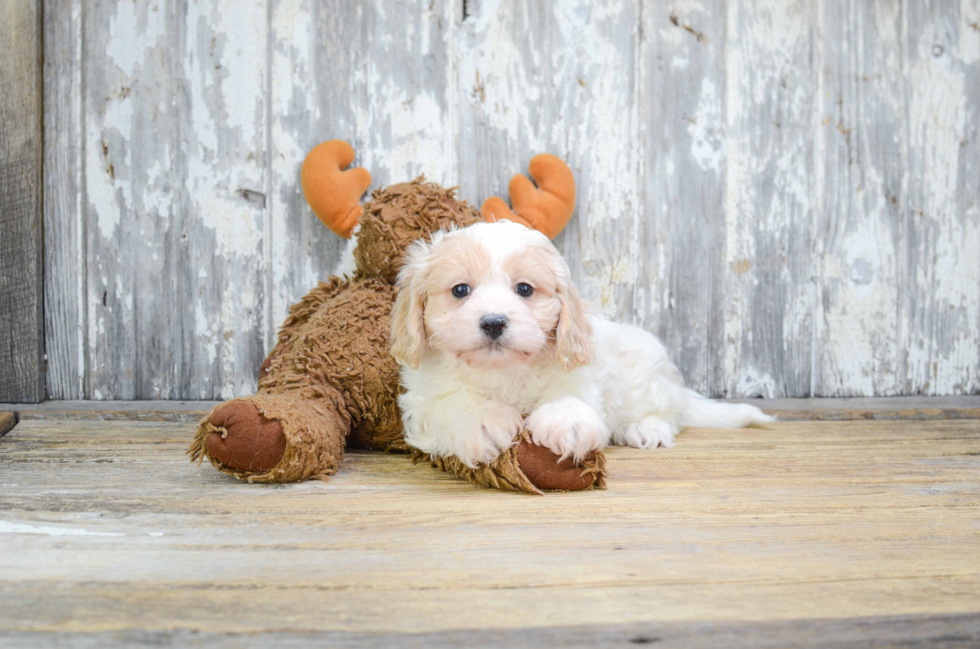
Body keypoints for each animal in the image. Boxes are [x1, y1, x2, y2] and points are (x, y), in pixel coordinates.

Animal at [390, 220, 772, 468]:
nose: (494, 322)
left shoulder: (580, 374)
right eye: (460, 290)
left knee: (667, 412)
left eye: (524, 289)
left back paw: (646, 427)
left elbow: (568, 395)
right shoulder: (422, 402)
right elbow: (452, 403)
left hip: (645, 376)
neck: (503, 369)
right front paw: (483, 421)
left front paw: (567, 424)